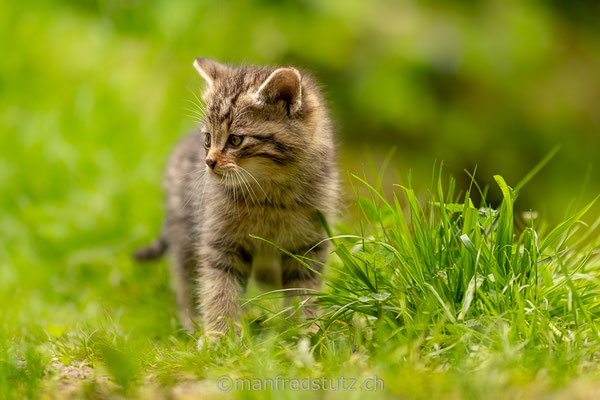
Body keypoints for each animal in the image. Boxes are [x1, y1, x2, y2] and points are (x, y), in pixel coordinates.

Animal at [135, 58, 338, 338]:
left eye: (235, 139)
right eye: (208, 139)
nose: (209, 162)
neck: (268, 197)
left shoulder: (309, 242)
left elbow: (303, 288)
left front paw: (303, 329)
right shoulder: (220, 240)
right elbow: (219, 288)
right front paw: (220, 335)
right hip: (184, 234)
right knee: (186, 280)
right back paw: (193, 322)